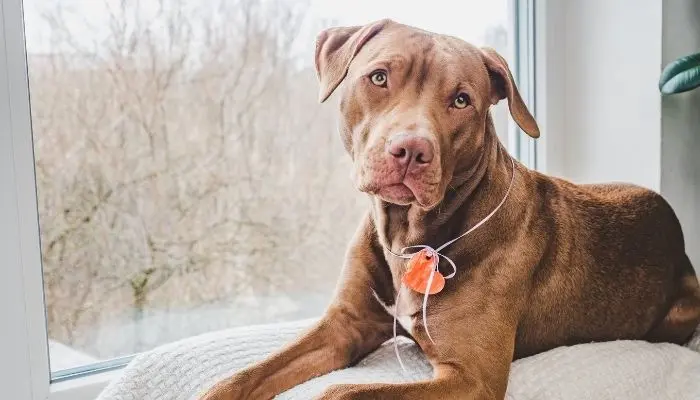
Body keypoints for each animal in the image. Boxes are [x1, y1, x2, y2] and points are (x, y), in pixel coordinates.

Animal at [200, 19, 700, 400]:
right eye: (378, 77)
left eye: (461, 100)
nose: (410, 150)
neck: (408, 234)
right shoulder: (344, 326)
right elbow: (242, 377)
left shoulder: (470, 376)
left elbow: (343, 391)